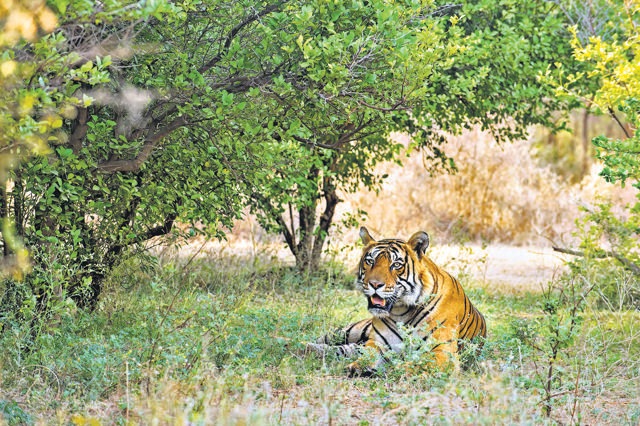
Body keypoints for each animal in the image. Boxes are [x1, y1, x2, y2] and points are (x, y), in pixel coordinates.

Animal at [308, 227, 486, 376]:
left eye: (396, 264)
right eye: (370, 261)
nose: (375, 284)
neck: (402, 311)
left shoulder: (442, 352)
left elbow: (416, 364)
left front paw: (394, 368)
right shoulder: (377, 344)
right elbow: (367, 357)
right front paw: (359, 366)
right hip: (348, 331)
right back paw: (305, 347)